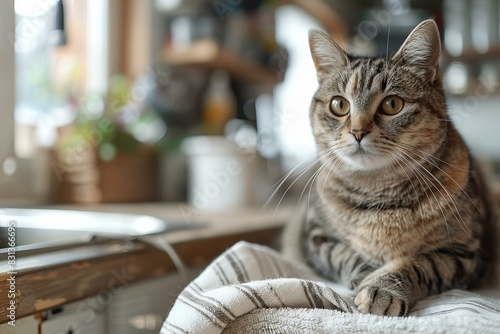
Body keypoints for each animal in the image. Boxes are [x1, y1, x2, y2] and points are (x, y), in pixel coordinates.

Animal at [284, 19, 498, 318]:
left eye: (392, 104)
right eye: (339, 105)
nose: (358, 131)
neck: (378, 195)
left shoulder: (461, 252)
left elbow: (415, 264)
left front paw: (381, 288)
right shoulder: (318, 237)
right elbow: (348, 257)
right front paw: (365, 278)